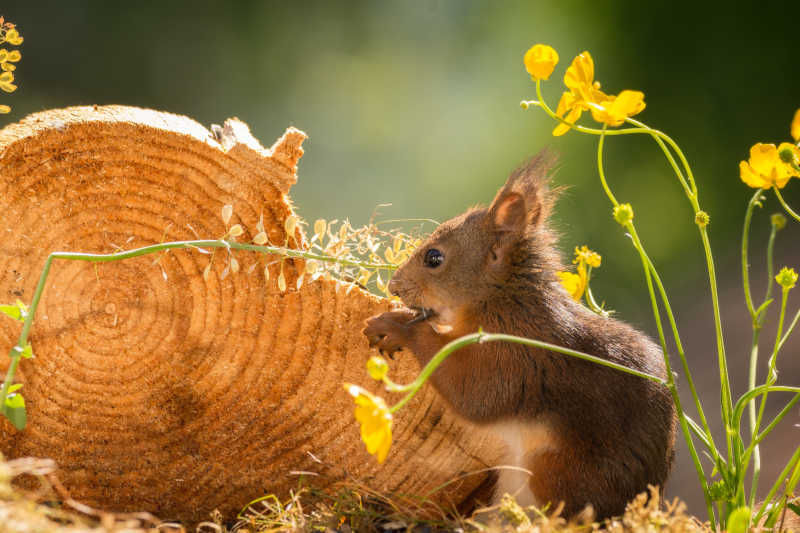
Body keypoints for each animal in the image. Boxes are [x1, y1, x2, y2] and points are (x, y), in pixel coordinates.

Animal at [366, 152, 680, 516]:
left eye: (434, 258)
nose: (394, 287)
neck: (504, 302)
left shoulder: (513, 358)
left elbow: (471, 392)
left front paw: (395, 325)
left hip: (553, 472)